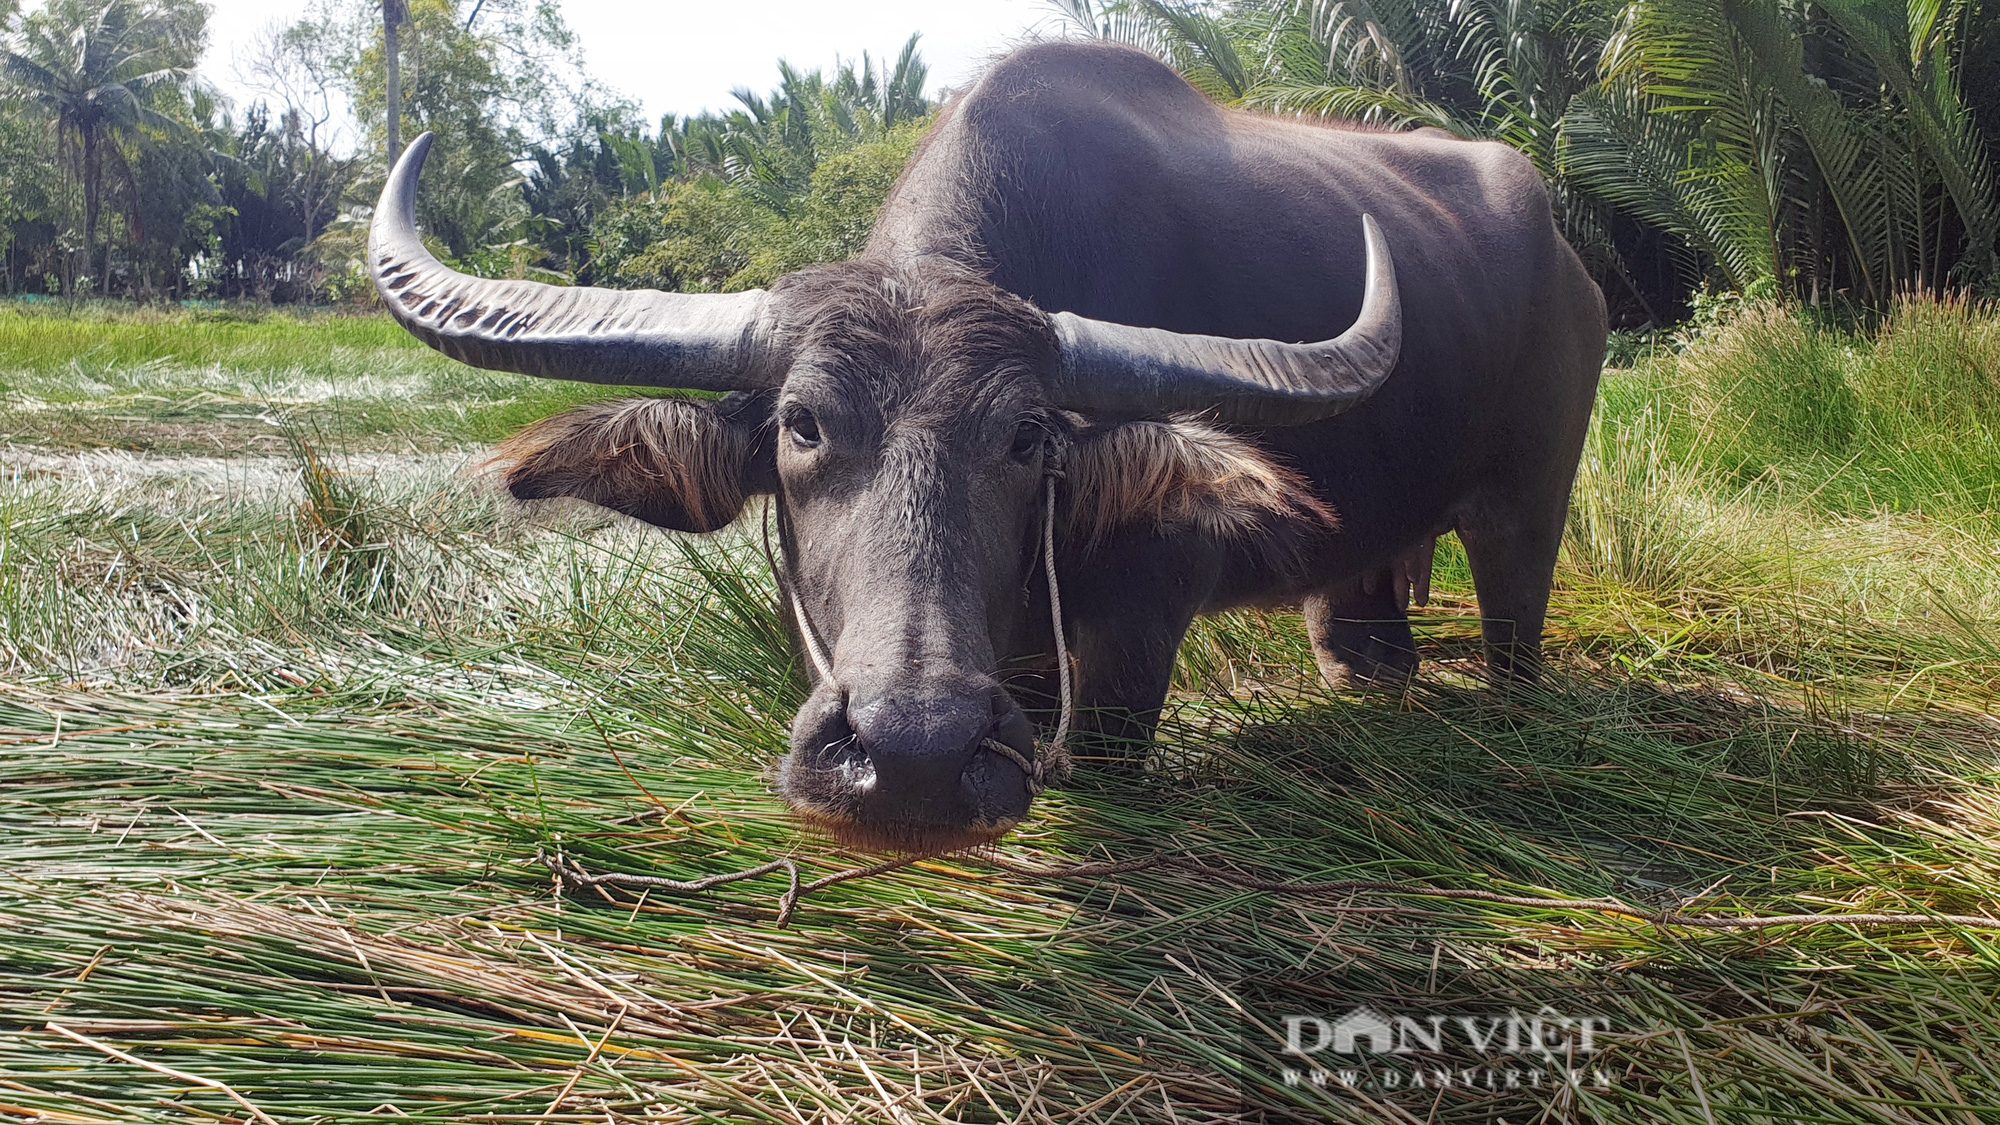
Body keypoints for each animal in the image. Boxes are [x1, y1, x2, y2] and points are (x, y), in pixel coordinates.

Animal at [364, 41, 1608, 848]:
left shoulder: (1137, 628)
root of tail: (1569, 261)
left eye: (1022, 439)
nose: (910, 755)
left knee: (1514, 621)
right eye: (802, 425)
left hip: (1527, 509)